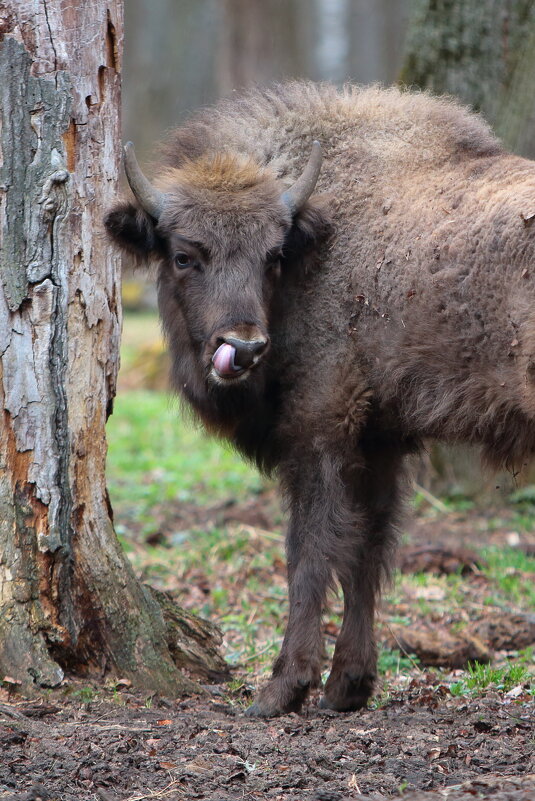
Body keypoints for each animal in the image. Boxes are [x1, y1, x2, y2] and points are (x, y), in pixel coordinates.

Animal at [104, 81, 535, 716]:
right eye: (184, 255)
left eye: (272, 255)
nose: (243, 346)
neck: (318, 244)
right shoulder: (378, 441)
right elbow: (367, 552)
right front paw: (347, 687)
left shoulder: (319, 430)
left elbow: (310, 552)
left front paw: (281, 689)